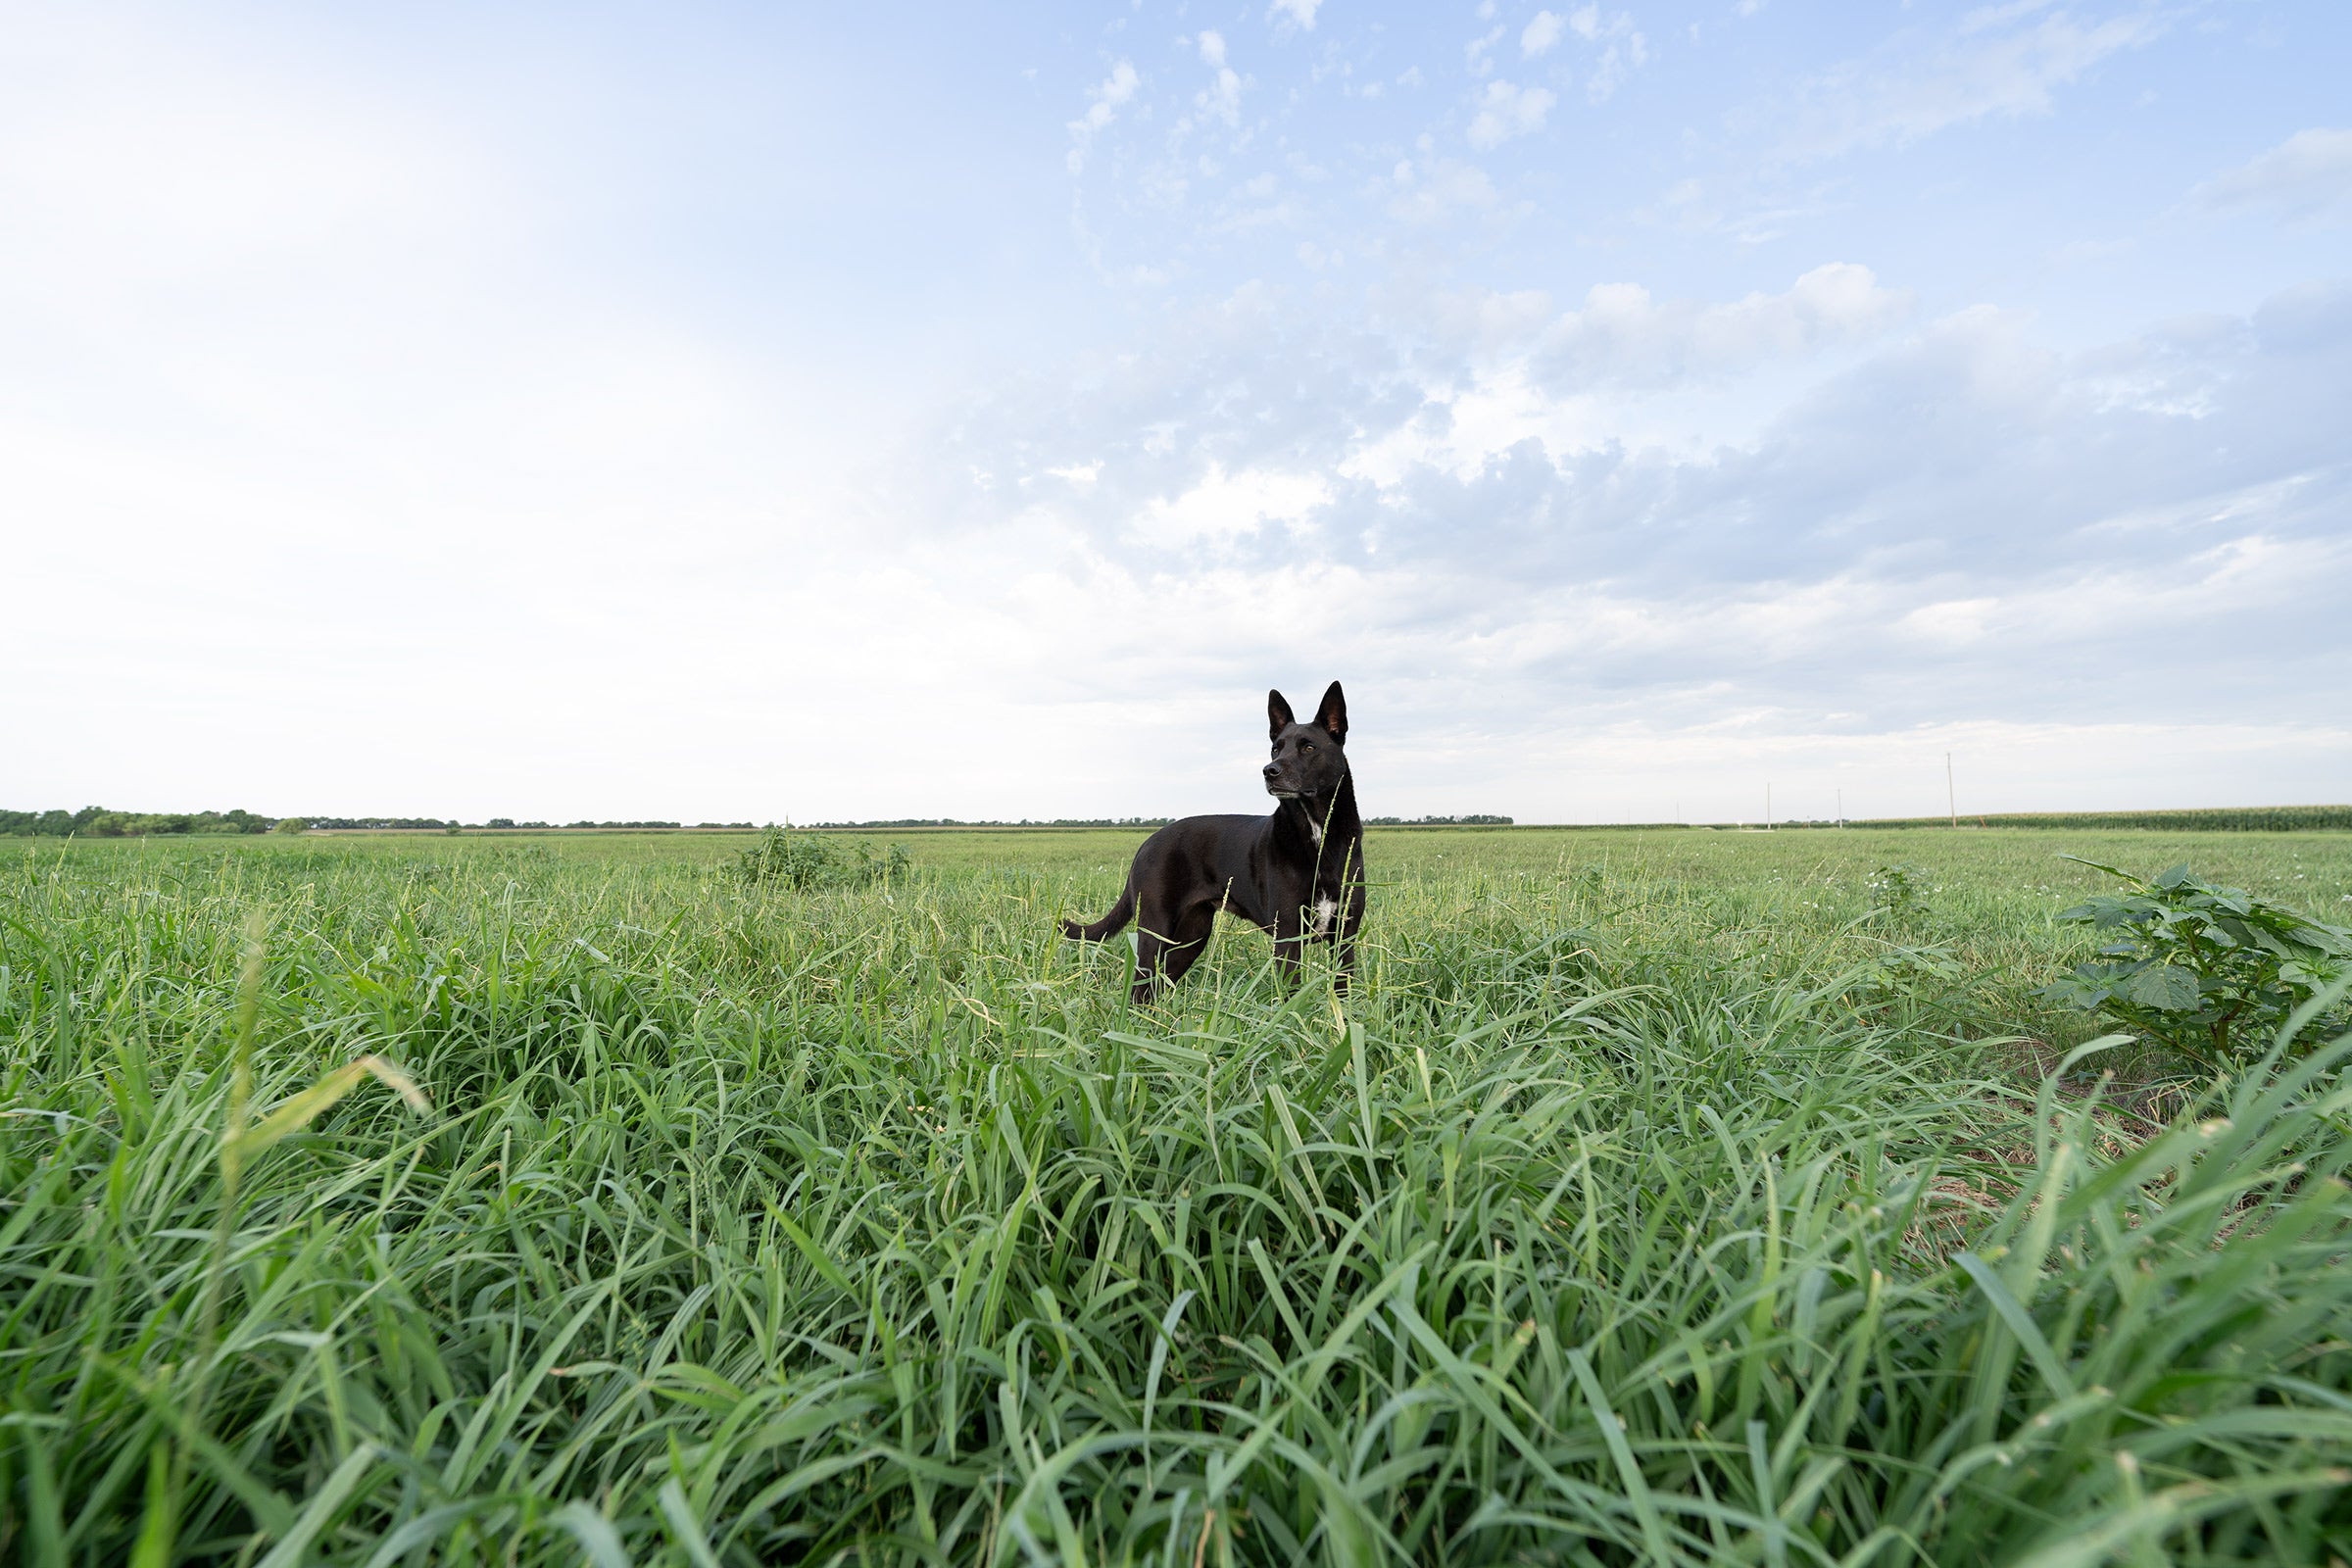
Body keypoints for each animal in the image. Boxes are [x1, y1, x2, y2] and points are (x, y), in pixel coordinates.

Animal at [1062, 676, 1373, 1001]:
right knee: (1141, 985)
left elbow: (1342, 992)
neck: (1318, 832)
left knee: (1159, 984)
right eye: (1275, 748)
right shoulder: (1288, 934)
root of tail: (1147, 842)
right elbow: (1290, 996)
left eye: (1309, 747)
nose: (1269, 770)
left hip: (1191, 936)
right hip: (1155, 927)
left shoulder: (1345, 934)